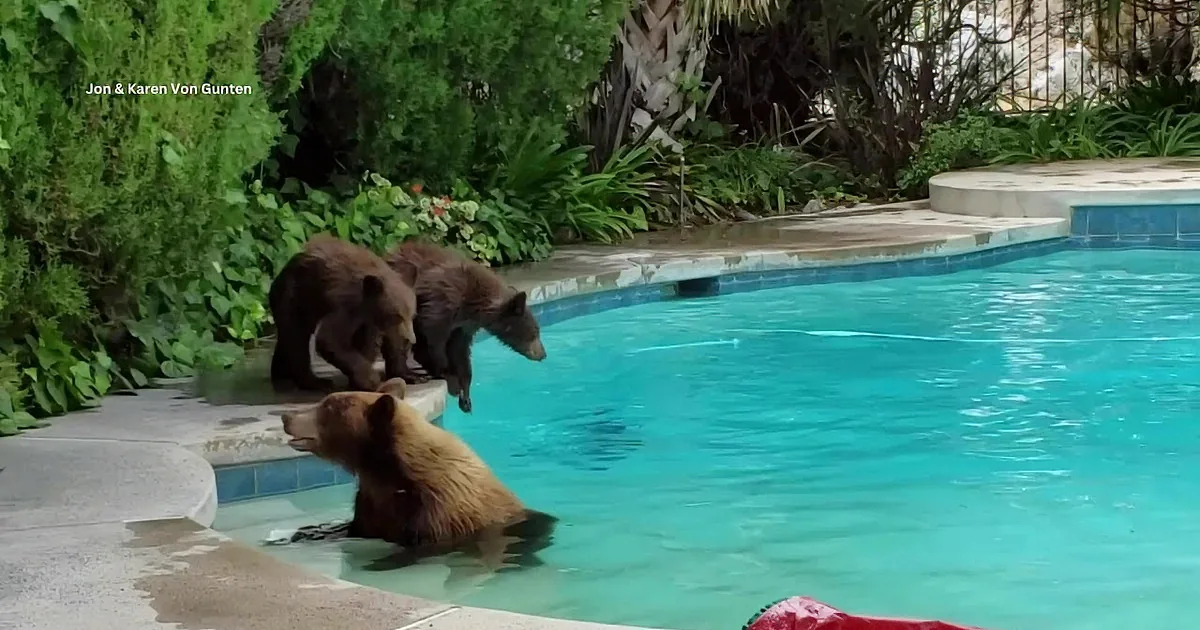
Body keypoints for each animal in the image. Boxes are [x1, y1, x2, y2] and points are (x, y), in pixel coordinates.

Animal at [268, 234, 420, 393]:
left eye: (412, 315)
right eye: (397, 316)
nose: (411, 339)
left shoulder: (370, 318)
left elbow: (384, 341)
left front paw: (410, 375)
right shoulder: (346, 304)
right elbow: (330, 340)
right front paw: (370, 380)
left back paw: (280, 373)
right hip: (295, 297)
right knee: (296, 337)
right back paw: (315, 381)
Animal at [279, 378, 559, 571]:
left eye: (328, 406)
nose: (286, 416)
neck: (388, 472)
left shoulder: (439, 510)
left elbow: (425, 545)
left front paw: (380, 562)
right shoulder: (373, 501)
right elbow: (354, 527)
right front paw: (303, 533)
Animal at [381, 239, 547, 413]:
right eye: (535, 332)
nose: (543, 354)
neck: (473, 302)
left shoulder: (462, 327)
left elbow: (460, 352)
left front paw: (466, 396)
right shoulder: (441, 303)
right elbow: (431, 339)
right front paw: (447, 376)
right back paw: (410, 375)